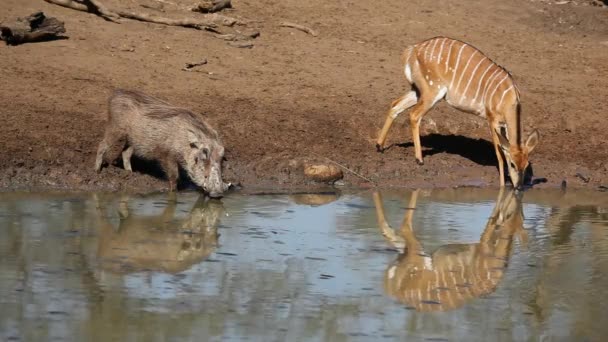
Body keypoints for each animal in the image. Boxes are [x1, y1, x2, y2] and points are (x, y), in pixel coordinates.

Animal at [372, 188, 524, 312]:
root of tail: (391, 287)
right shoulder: (484, 244)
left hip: (405, 254)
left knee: (391, 232)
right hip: (417, 255)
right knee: (404, 227)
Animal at [376, 37, 540, 190]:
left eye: (526, 165)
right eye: (512, 164)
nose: (519, 187)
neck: (508, 98)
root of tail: (412, 50)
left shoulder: (503, 124)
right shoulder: (491, 119)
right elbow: (499, 154)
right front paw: (501, 187)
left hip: (418, 90)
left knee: (395, 105)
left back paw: (379, 146)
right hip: (433, 91)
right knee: (414, 114)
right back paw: (419, 159)